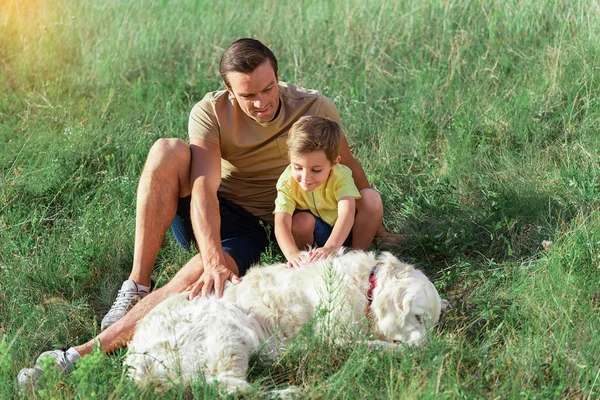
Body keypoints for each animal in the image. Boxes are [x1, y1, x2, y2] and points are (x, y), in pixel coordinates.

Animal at [125, 250, 446, 390]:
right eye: (417, 317)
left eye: (431, 323)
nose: (430, 347)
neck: (366, 284)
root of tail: (135, 364)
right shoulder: (335, 335)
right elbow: (374, 346)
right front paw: (407, 351)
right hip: (228, 323)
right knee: (227, 386)